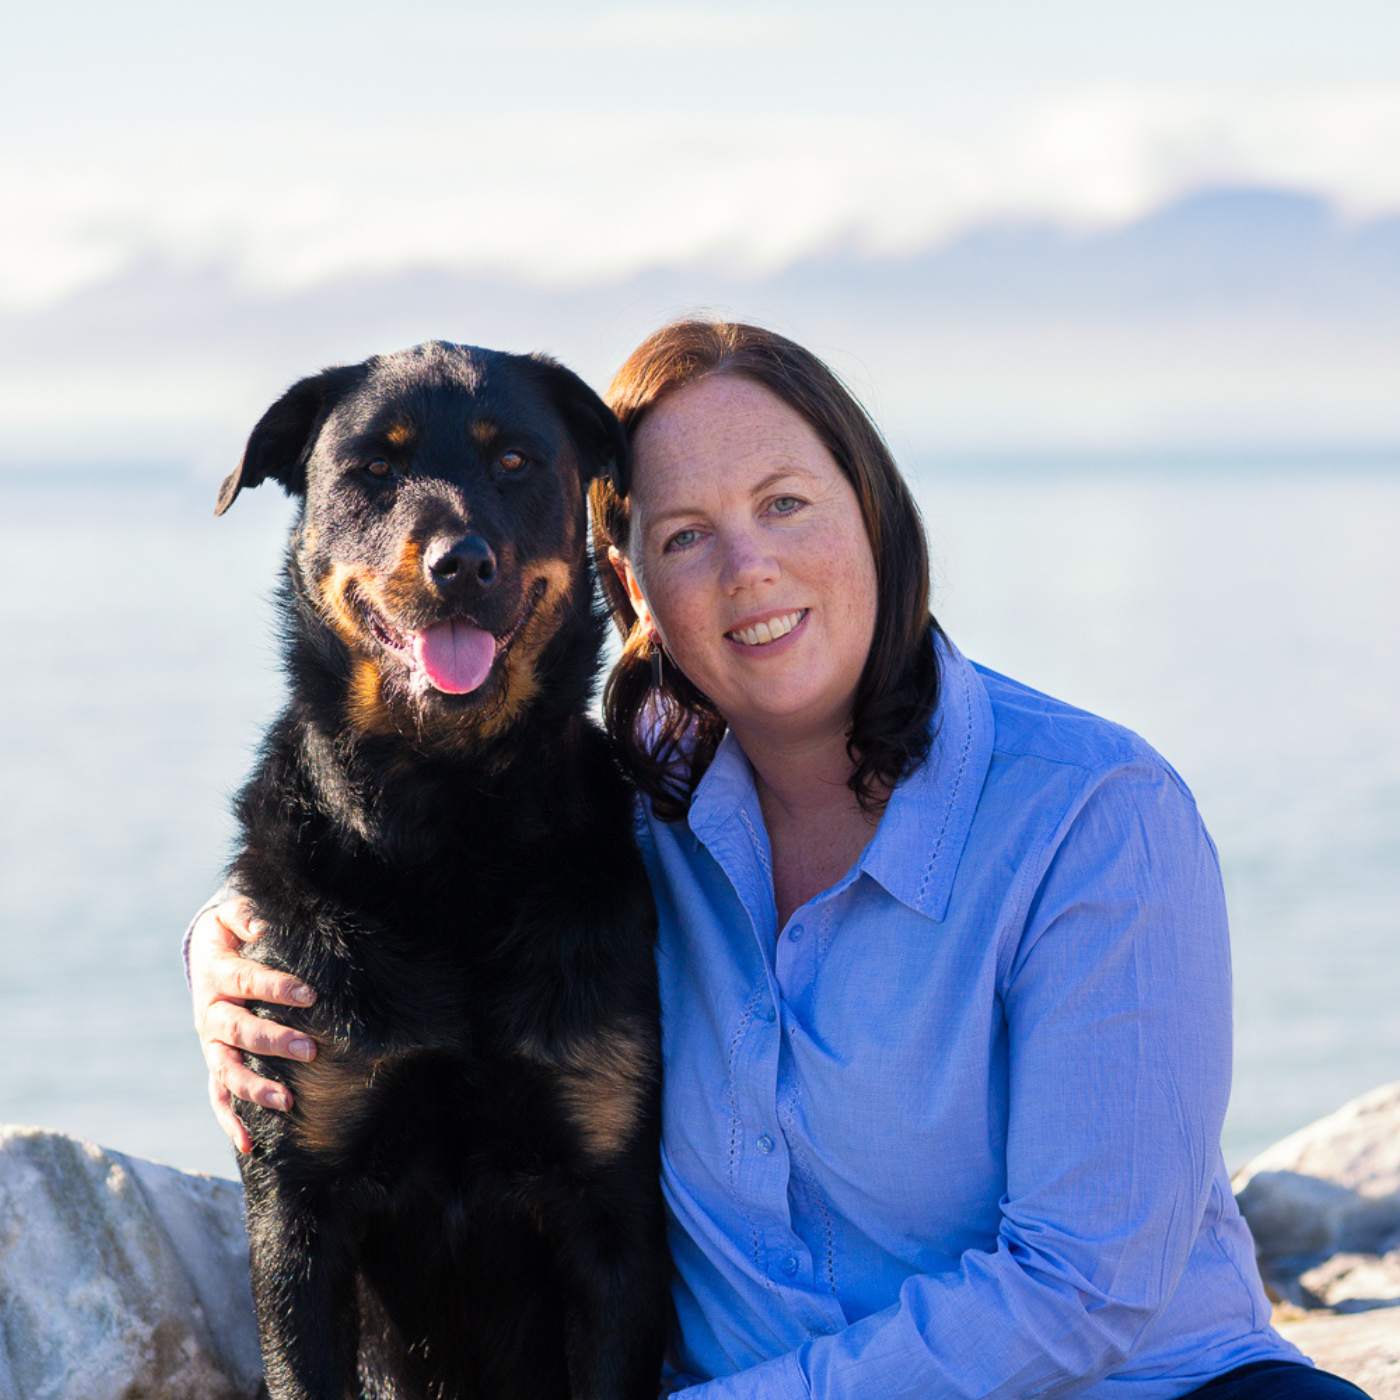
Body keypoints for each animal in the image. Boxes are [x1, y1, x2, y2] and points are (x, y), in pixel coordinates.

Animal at [215, 341, 669, 1400]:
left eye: (514, 462)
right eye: (375, 468)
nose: (459, 562)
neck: (451, 835)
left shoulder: (612, 1205)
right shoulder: (297, 1202)